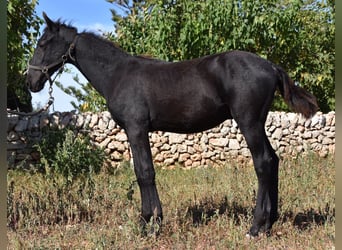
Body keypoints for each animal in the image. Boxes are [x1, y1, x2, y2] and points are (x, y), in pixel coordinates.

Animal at [26, 13, 318, 236]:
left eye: (42, 43)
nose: (31, 81)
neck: (117, 74)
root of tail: (271, 66)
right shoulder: (136, 130)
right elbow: (142, 171)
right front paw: (149, 221)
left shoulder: (136, 128)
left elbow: (145, 172)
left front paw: (150, 224)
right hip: (258, 122)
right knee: (273, 160)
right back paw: (270, 223)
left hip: (248, 122)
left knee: (263, 163)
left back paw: (256, 227)